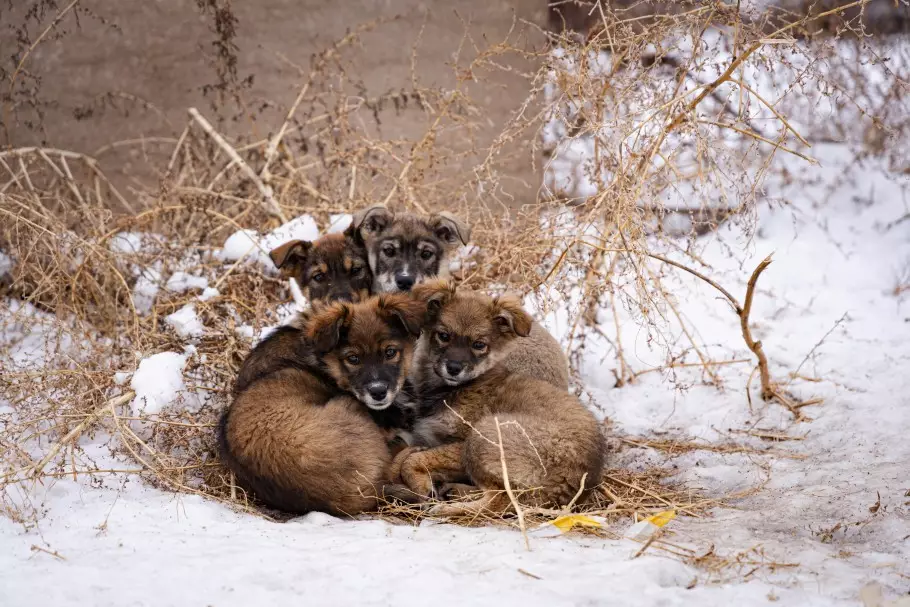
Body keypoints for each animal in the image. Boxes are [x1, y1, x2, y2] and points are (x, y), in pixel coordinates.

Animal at [390, 280, 604, 512]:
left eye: (479, 345)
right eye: (444, 336)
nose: (454, 368)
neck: (448, 389)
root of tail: (573, 480)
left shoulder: (459, 443)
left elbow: (412, 460)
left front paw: (422, 487)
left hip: (483, 437)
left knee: (500, 499)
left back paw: (448, 508)